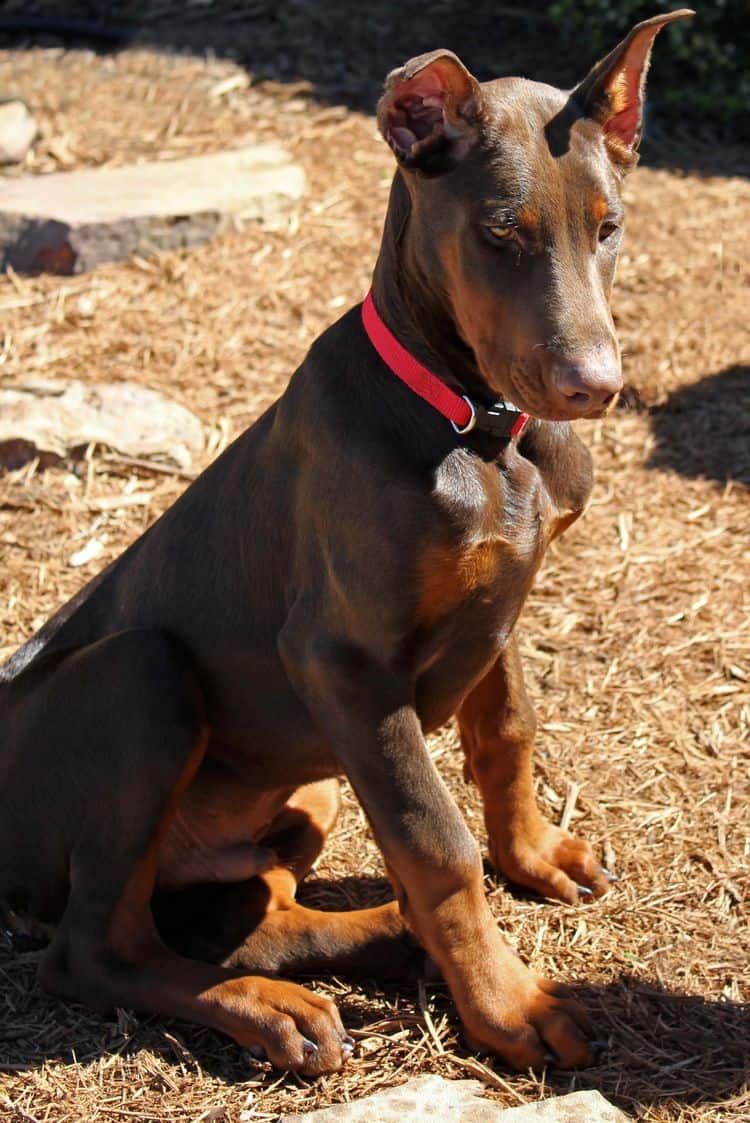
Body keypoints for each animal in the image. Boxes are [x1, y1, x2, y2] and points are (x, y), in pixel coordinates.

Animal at [0, 8, 691, 1078]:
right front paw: (509, 1007)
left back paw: (371, 946)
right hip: (144, 677)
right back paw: (270, 1008)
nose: (595, 386)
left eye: (608, 227)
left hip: (306, 785)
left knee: (241, 914)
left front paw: (532, 860)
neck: (478, 427)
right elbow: (435, 840)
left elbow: (507, 730)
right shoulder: (343, 662)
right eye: (500, 234)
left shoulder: (498, 600)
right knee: (91, 950)